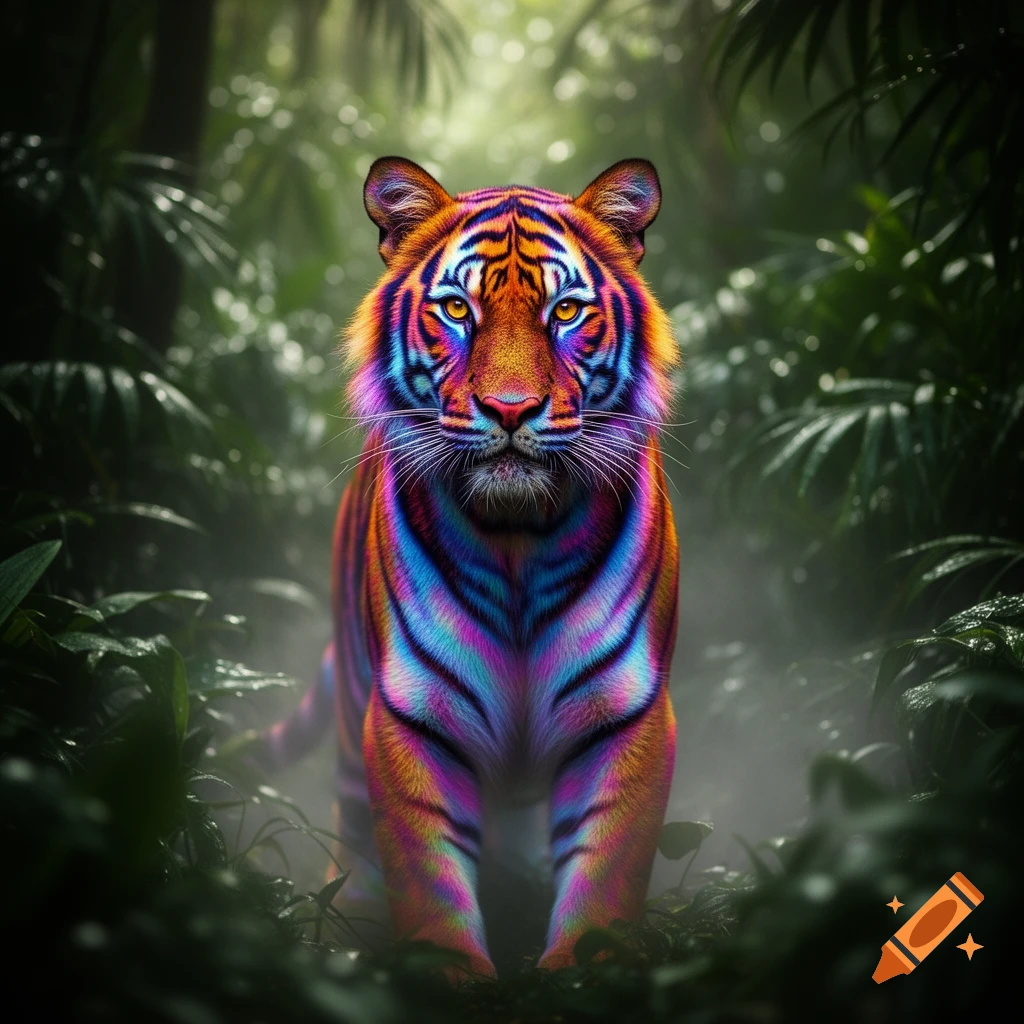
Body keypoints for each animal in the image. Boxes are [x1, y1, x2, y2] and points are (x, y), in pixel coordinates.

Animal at [257, 156, 681, 976]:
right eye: (457, 308)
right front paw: (447, 975)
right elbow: (427, 874)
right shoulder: (409, 716)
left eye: (566, 312)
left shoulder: (628, 713)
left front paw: (582, 971)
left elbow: (606, 869)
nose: (510, 409)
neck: (516, 538)